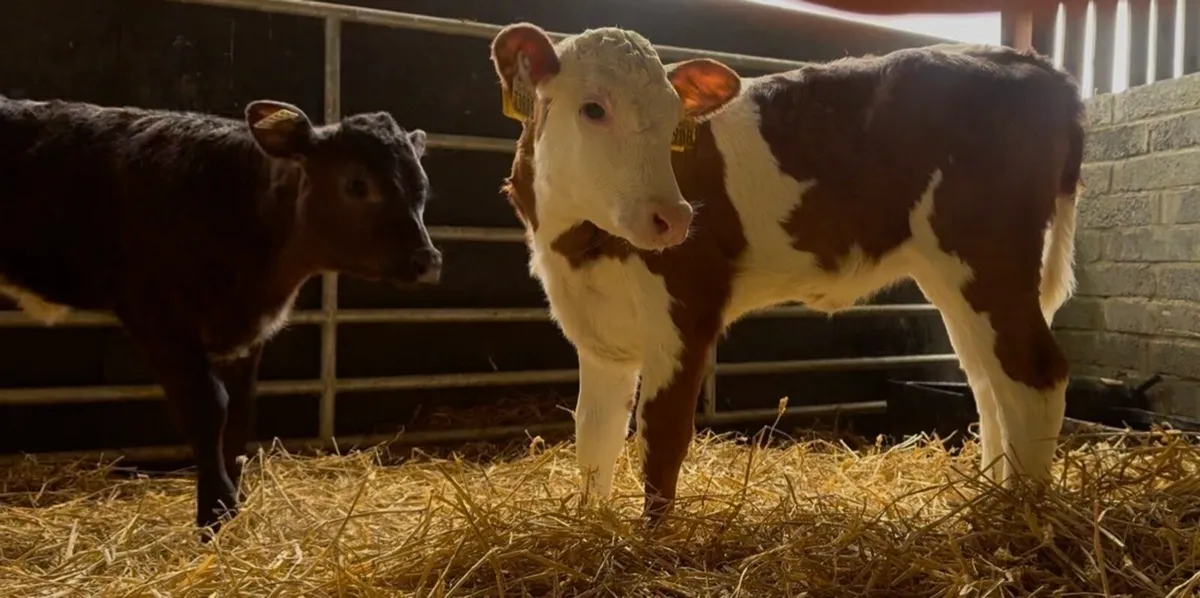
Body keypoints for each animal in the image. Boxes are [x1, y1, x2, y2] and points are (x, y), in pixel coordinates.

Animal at [0, 96, 442, 535]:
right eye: (356, 184)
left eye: (422, 187)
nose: (428, 260)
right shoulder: (159, 323)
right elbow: (209, 410)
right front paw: (215, 511)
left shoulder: (250, 332)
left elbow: (241, 414)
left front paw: (234, 503)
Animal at [489, 23, 1084, 522]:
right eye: (593, 109)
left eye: (673, 120)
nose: (674, 217)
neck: (575, 241)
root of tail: (1036, 66)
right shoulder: (595, 326)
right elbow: (594, 435)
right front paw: (592, 528)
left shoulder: (686, 308)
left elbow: (661, 437)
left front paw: (650, 544)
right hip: (953, 275)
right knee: (990, 380)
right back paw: (990, 501)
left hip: (987, 252)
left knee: (1035, 373)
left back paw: (1020, 521)